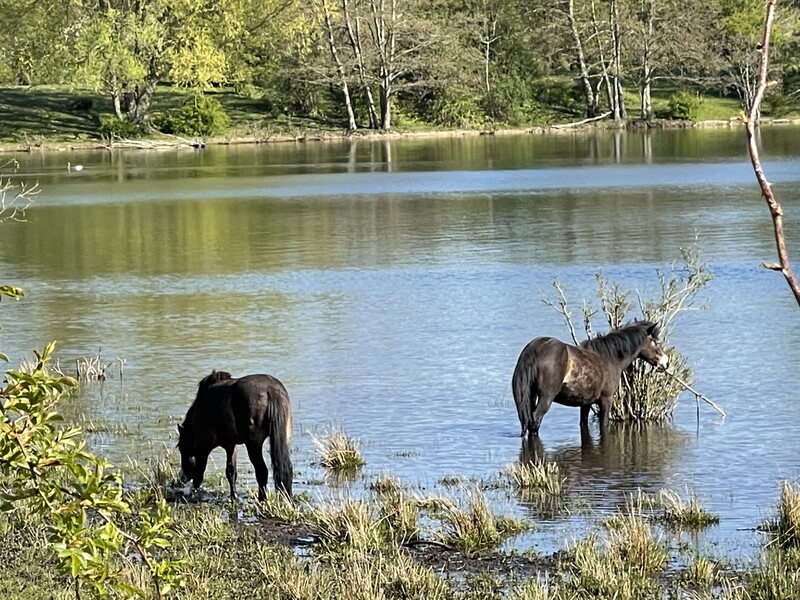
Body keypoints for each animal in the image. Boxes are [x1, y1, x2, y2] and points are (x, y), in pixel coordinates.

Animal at [178, 372, 294, 500]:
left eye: (181, 449)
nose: (182, 477)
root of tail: (271, 390)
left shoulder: (203, 445)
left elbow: (200, 473)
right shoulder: (231, 445)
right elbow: (231, 471)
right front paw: (233, 496)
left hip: (254, 445)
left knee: (262, 471)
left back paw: (262, 499)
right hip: (284, 440)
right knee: (286, 469)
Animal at [512, 322, 668, 438]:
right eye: (655, 342)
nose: (665, 363)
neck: (610, 358)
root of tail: (534, 349)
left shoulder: (585, 403)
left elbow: (583, 424)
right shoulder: (606, 399)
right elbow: (604, 425)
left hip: (531, 396)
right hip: (546, 398)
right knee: (535, 422)